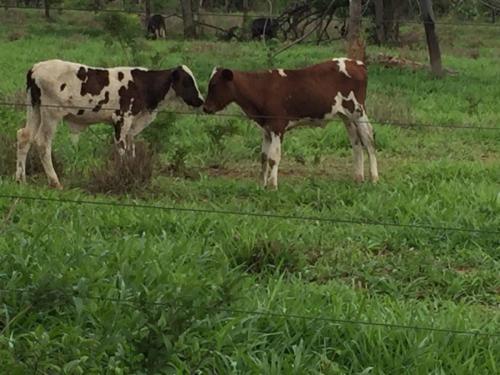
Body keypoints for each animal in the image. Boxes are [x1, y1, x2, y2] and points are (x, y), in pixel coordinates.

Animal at [15, 59, 203, 189]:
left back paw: (20, 179)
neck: (142, 84)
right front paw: (124, 175)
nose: (201, 100)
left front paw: (132, 173)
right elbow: (122, 150)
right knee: (42, 143)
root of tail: (36, 68)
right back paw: (55, 182)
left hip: (34, 109)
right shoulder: (121, 120)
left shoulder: (131, 127)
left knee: (24, 136)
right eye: (187, 81)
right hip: (51, 114)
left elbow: (131, 151)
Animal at [203, 59, 378, 191]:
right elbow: (264, 157)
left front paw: (272, 186)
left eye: (214, 85)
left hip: (358, 112)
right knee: (356, 143)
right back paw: (358, 178)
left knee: (369, 141)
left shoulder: (277, 126)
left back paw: (374, 178)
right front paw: (262, 185)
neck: (261, 89)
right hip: (347, 117)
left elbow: (273, 157)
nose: (205, 108)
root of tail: (357, 63)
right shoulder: (266, 129)